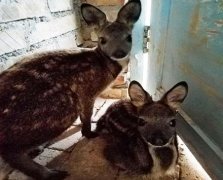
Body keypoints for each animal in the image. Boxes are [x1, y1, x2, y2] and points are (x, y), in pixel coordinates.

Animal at [0, 0, 141, 179]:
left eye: (129, 37)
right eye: (102, 40)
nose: (119, 53)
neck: (103, 64)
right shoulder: (87, 90)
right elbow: (87, 115)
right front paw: (90, 134)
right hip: (60, 107)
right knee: (11, 153)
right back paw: (51, 173)